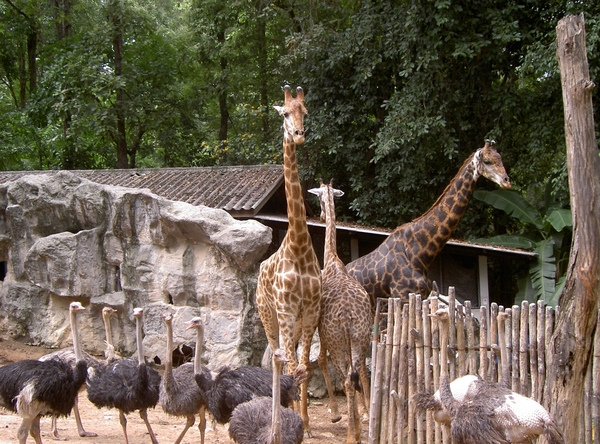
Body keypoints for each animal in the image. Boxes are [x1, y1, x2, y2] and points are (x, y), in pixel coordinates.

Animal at [346, 140, 510, 306]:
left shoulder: (421, 295)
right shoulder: (403, 295)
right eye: (487, 161)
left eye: (500, 158)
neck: (421, 254)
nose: (506, 181)